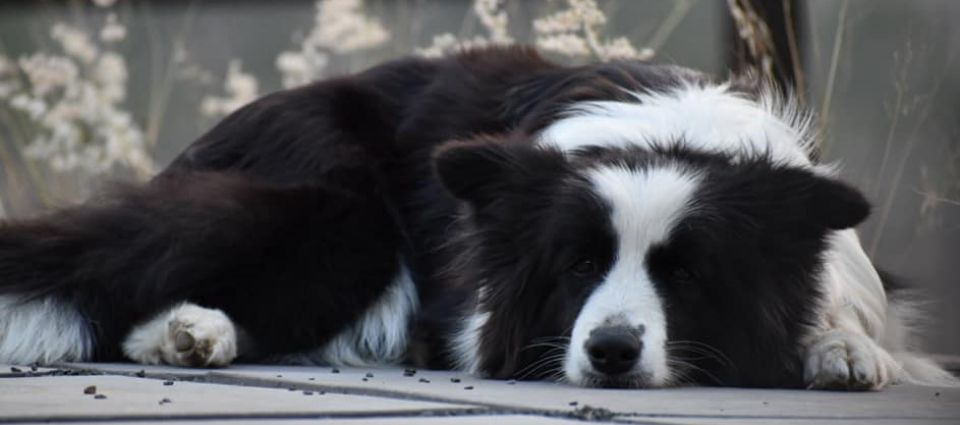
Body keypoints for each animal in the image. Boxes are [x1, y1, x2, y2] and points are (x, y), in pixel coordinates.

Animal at [0, 46, 952, 388]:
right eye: (576, 265)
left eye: (685, 273)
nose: (610, 353)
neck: (669, 131)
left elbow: (847, 321)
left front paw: (840, 348)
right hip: (340, 218)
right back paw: (190, 333)